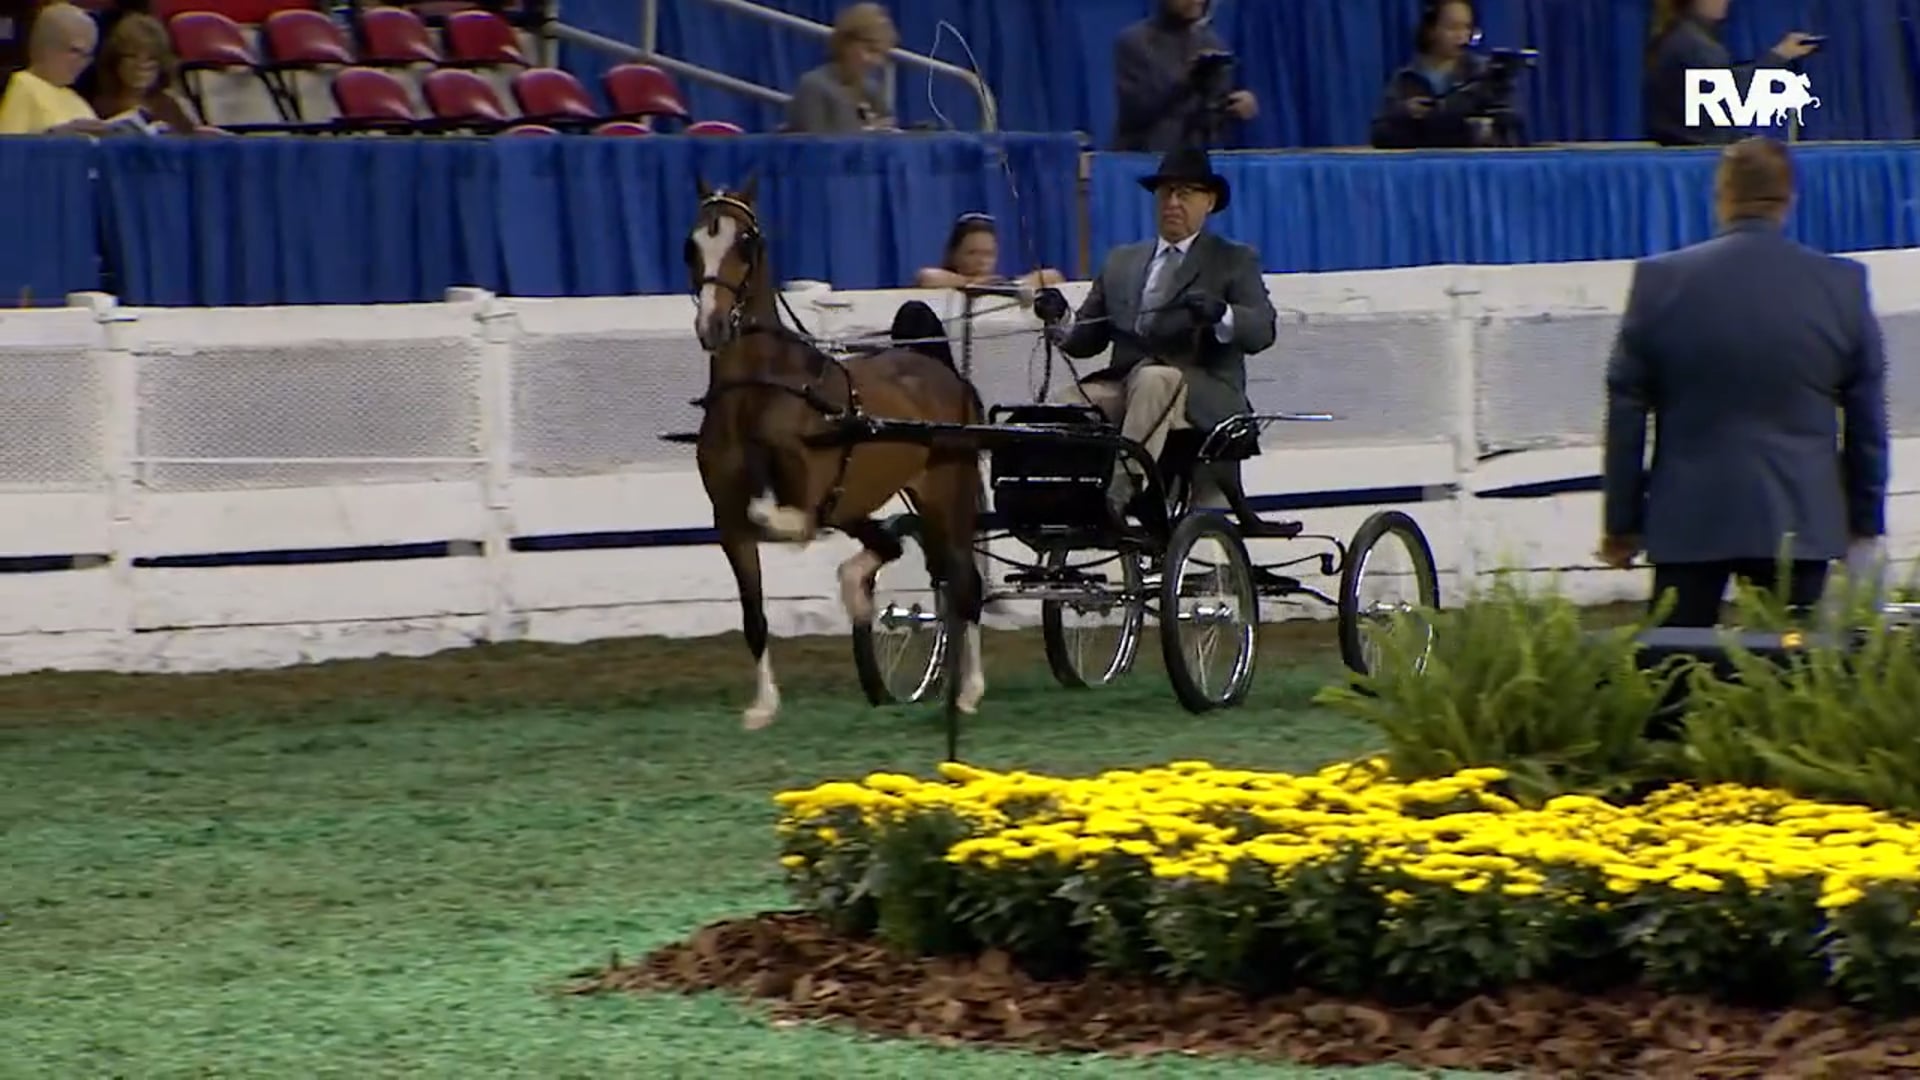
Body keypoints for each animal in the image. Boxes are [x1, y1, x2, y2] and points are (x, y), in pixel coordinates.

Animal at [684, 177, 988, 730]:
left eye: (746, 243)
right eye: (691, 245)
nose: (712, 326)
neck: (760, 392)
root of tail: (942, 371)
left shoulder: (802, 497)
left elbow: (784, 515)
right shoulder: (728, 524)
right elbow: (754, 614)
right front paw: (763, 707)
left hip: (946, 493)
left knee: (963, 581)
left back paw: (969, 691)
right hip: (880, 498)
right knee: (901, 549)